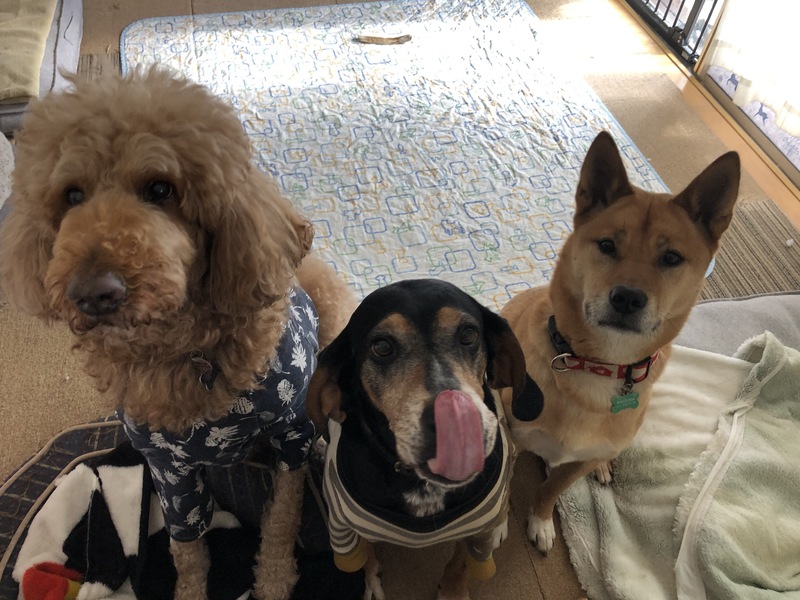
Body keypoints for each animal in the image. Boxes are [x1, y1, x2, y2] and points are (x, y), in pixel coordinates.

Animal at [0, 67, 354, 600]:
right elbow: (187, 544)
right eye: (72, 195)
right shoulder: (170, 470)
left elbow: (281, 519)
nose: (91, 294)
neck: (187, 352)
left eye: (160, 189)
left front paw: (272, 580)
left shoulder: (289, 434)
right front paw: (190, 588)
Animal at [305, 279, 527, 600]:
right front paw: (373, 584)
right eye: (381, 347)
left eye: (469, 334)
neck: (421, 485)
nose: (456, 427)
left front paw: (452, 593)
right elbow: (366, 558)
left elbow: (461, 564)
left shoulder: (477, 532)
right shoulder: (345, 529)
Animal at [500, 131, 740, 554]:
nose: (627, 298)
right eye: (607, 245)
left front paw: (541, 519)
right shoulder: (511, 436)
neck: (596, 364)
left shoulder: (575, 463)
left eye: (671, 257)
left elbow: (550, 490)